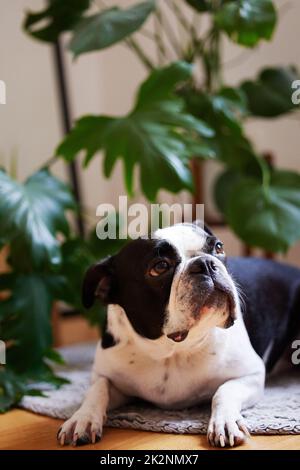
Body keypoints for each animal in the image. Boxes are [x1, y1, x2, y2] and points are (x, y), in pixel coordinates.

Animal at [56, 222, 300, 446]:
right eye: (160, 267)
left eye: (218, 247)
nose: (205, 263)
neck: (172, 350)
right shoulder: (110, 378)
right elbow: (98, 388)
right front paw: (82, 418)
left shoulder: (251, 374)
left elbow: (224, 391)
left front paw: (224, 422)